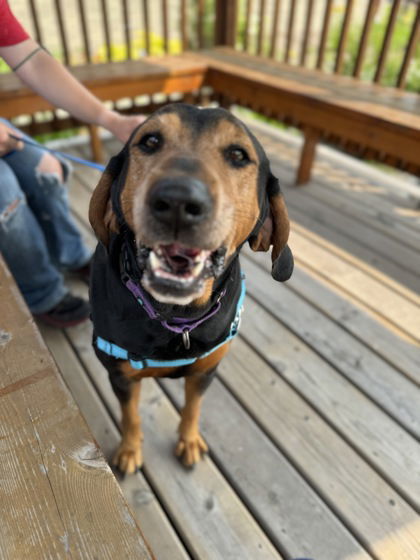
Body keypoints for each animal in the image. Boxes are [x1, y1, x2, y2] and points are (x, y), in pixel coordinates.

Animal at [88, 101, 292, 472]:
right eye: (150, 141)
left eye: (238, 154)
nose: (177, 201)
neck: (175, 317)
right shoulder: (121, 374)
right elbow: (129, 415)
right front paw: (129, 448)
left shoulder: (206, 370)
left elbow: (193, 406)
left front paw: (189, 440)